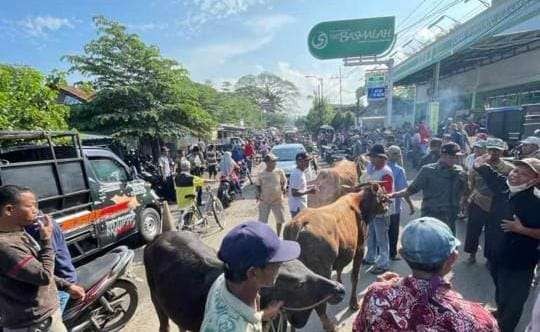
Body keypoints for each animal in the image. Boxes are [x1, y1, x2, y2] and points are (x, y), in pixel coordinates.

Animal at [282, 184, 388, 332]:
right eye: (382, 196)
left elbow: (339, 269)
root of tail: (298, 222)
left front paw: (339, 285)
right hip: (322, 269)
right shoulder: (359, 249)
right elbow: (354, 276)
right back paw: (330, 325)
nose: (387, 207)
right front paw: (353, 303)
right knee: (319, 302)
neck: (359, 203)